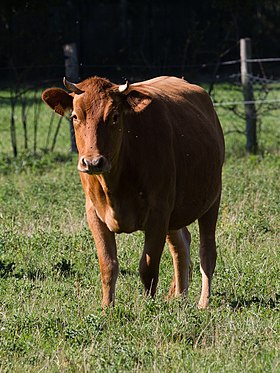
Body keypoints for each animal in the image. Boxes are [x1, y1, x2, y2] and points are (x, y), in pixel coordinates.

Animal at [42, 75, 225, 308]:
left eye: (114, 116)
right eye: (75, 116)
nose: (92, 162)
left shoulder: (158, 214)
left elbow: (148, 267)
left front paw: (148, 307)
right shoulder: (94, 213)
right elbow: (108, 265)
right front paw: (107, 308)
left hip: (212, 199)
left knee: (207, 252)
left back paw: (203, 304)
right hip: (174, 214)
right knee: (181, 246)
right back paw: (179, 297)